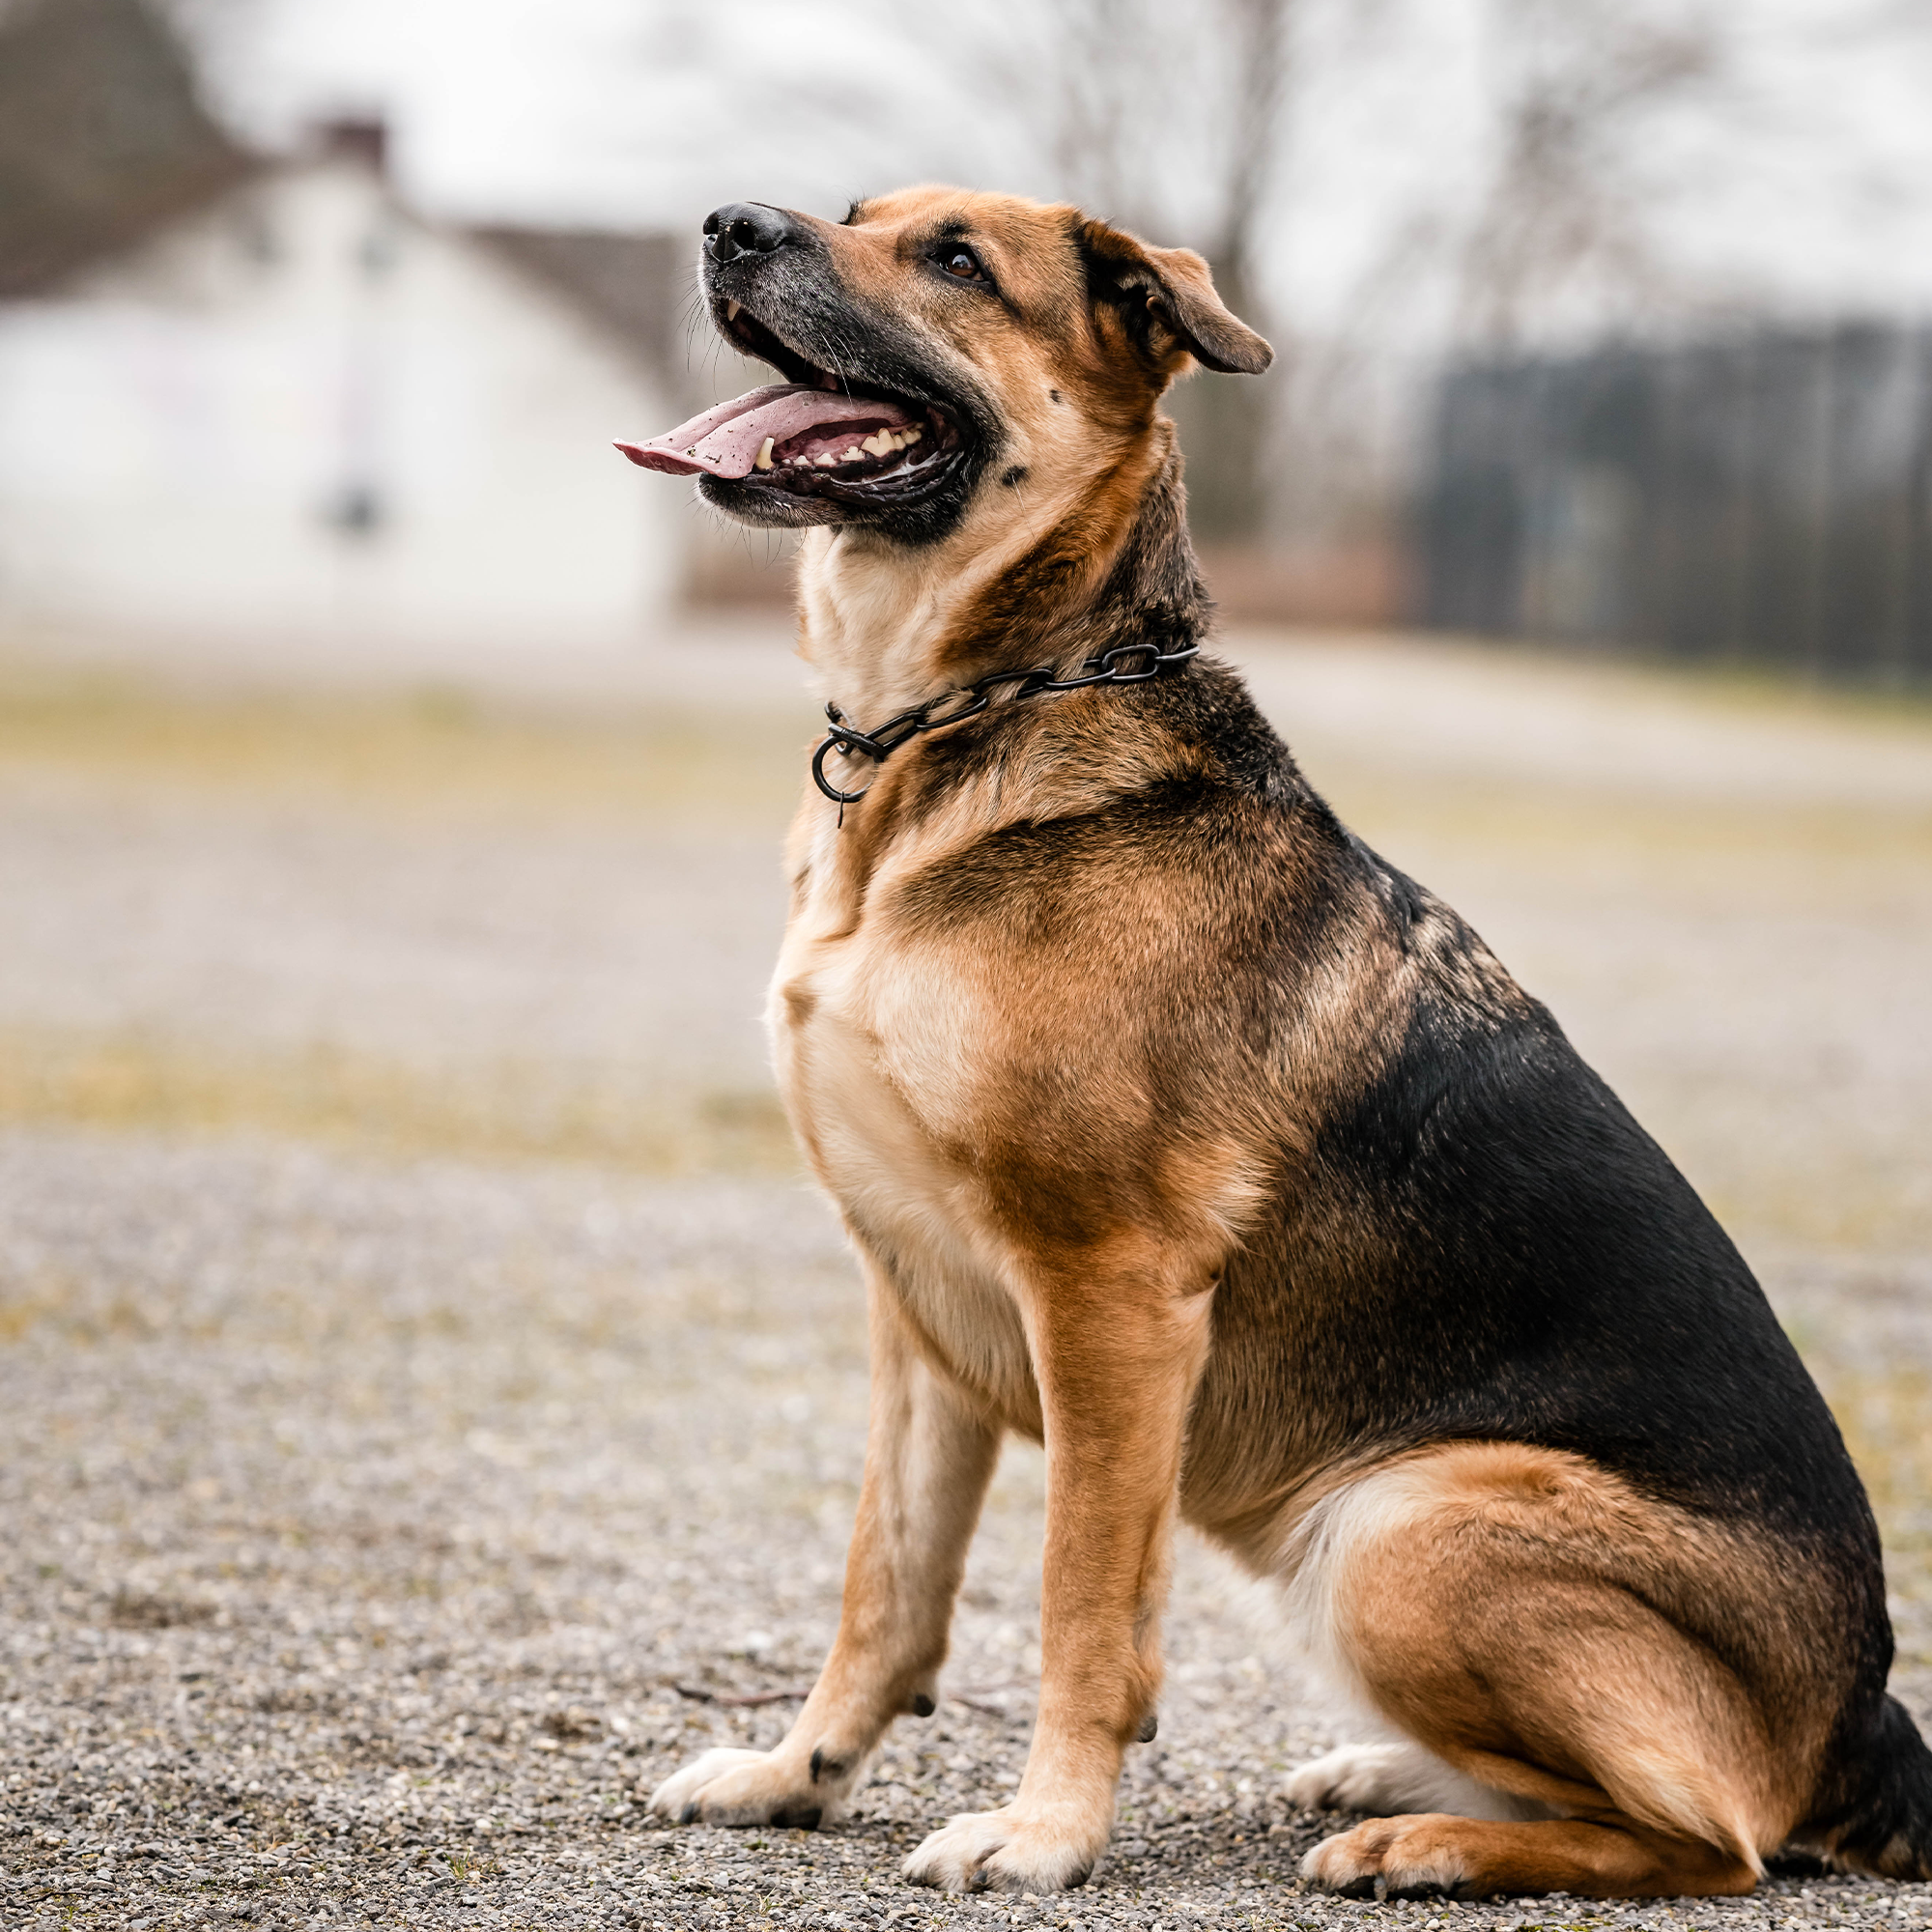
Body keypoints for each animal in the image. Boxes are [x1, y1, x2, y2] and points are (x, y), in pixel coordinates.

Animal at [618, 192, 1932, 1901]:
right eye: (854, 219)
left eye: (958, 260)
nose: (728, 223)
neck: (965, 722)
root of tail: (1864, 1726)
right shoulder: (915, 1318)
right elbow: (884, 1589)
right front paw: (800, 1775)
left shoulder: (1110, 1301)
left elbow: (1080, 1608)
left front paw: (1046, 1833)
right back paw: (1393, 1775)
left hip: (1403, 1526)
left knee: (1717, 1838)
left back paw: (1425, 1838)